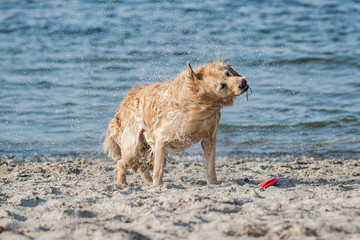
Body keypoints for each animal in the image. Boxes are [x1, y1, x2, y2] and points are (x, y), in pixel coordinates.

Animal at [102, 59, 249, 186]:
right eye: (221, 86)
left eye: (227, 73)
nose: (243, 81)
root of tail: (122, 106)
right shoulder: (161, 139)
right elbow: (158, 170)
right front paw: (157, 185)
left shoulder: (209, 139)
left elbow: (211, 167)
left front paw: (213, 184)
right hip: (133, 147)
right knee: (122, 163)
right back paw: (121, 183)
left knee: (142, 166)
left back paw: (147, 182)